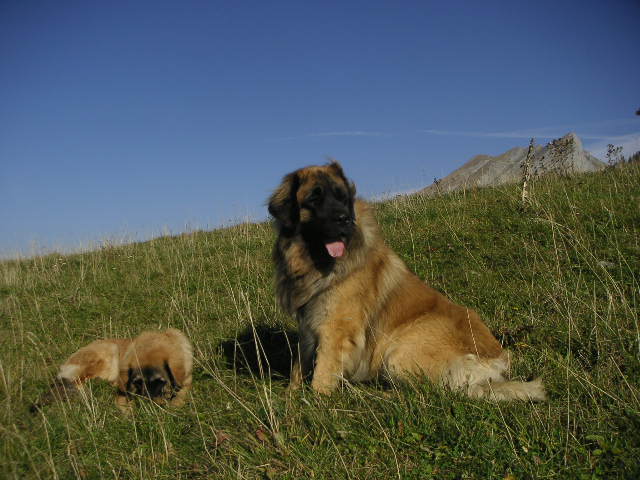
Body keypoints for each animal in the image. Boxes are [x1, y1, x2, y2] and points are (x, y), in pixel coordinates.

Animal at [268, 162, 544, 402]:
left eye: (342, 197)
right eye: (315, 199)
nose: (344, 219)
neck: (312, 260)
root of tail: (496, 361)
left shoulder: (336, 331)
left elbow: (323, 371)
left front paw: (314, 400)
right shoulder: (308, 325)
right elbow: (299, 364)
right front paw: (291, 394)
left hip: (398, 350)